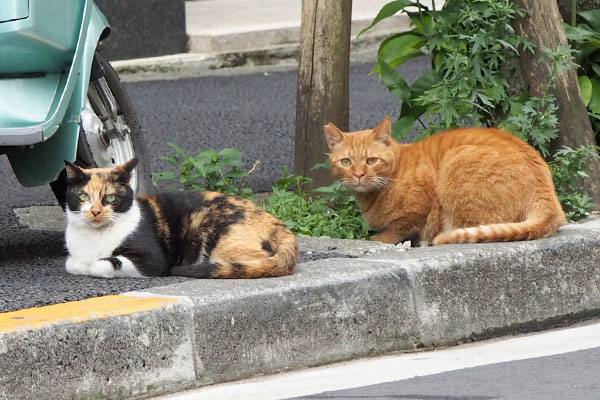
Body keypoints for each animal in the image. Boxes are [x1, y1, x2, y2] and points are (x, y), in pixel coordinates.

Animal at [63, 159, 298, 278]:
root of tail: (277, 223)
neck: (94, 238)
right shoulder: (74, 256)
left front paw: (95, 265)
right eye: (83, 197)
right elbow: (70, 263)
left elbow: (102, 264)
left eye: (110, 197)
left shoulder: (154, 261)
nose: (95, 211)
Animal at [326, 115, 564, 245]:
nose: (358, 174)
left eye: (371, 160)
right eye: (346, 162)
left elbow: (397, 230)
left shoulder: (417, 209)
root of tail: (547, 193)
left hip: (455, 161)